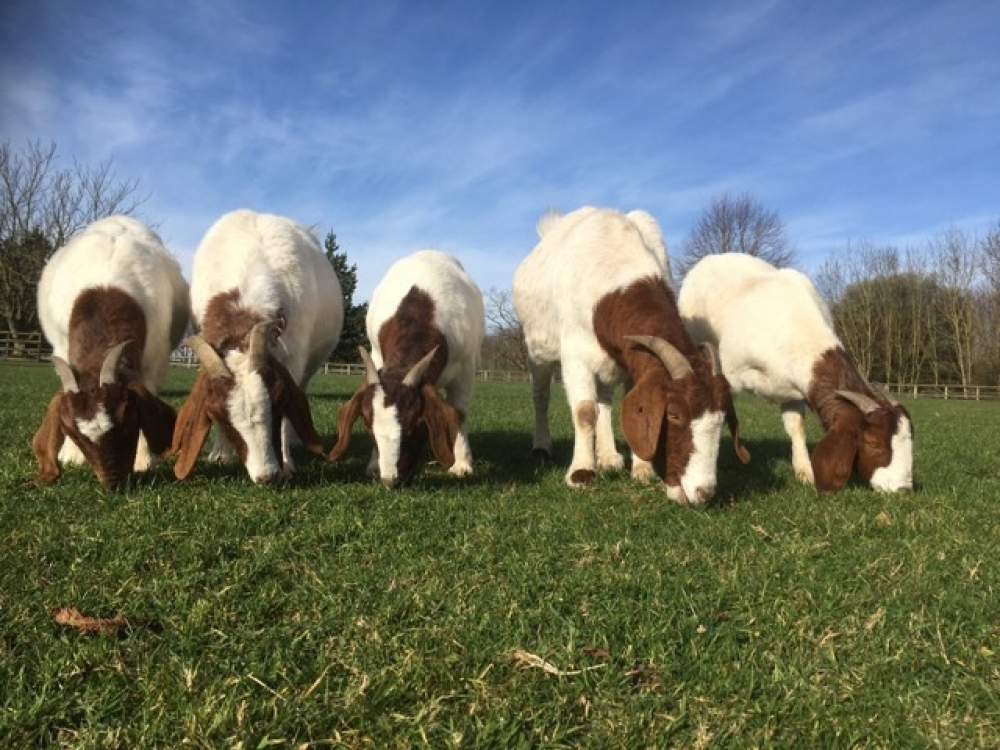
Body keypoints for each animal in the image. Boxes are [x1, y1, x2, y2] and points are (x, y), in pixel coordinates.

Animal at [32, 216, 188, 489]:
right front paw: (72, 455)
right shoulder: (62, 346)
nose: (112, 482)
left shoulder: (155, 359)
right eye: (73, 432)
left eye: (128, 419)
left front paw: (143, 461)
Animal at [171, 209, 343, 483]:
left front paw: (286, 463)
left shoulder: (294, 360)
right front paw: (220, 456)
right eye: (218, 414)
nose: (266, 476)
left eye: (278, 401)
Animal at [330, 250, 484, 487]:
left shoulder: (465, 368)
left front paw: (461, 464)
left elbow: (460, 412)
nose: (390, 480)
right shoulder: (377, 357)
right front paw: (373, 465)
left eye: (416, 427)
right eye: (368, 427)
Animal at [512, 206, 747, 505]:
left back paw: (609, 457)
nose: (703, 493)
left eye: (721, 419)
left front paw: (642, 469)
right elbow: (584, 412)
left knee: (605, 402)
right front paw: (581, 473)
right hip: (536, 348)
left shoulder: (634, 362)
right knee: (541, 398)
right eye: (674, 415)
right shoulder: (575, 355)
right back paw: (542, 448)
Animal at [677, 252, 913, 493]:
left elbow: (796, 427)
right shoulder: (730, 375)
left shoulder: (794, 389)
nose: (904, 489)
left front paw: (805, 473)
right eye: (873, 443)